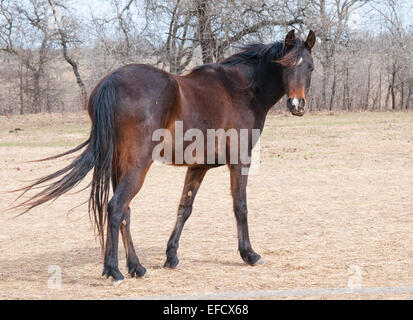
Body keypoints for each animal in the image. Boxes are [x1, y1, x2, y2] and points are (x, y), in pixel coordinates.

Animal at [14, 30, 314, 282]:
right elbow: (240, 206)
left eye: (309, 67)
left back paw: (136, 267)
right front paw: (249, 254)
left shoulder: (198, 166)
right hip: (137, 166)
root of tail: (112, 81)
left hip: (119, 166)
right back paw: (114, 271)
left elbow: (184, 208)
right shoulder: (240, 161)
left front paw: (171, 256)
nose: (297, 105)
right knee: (116, 207)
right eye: (286, 66)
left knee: (125, 211)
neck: (241, 90)